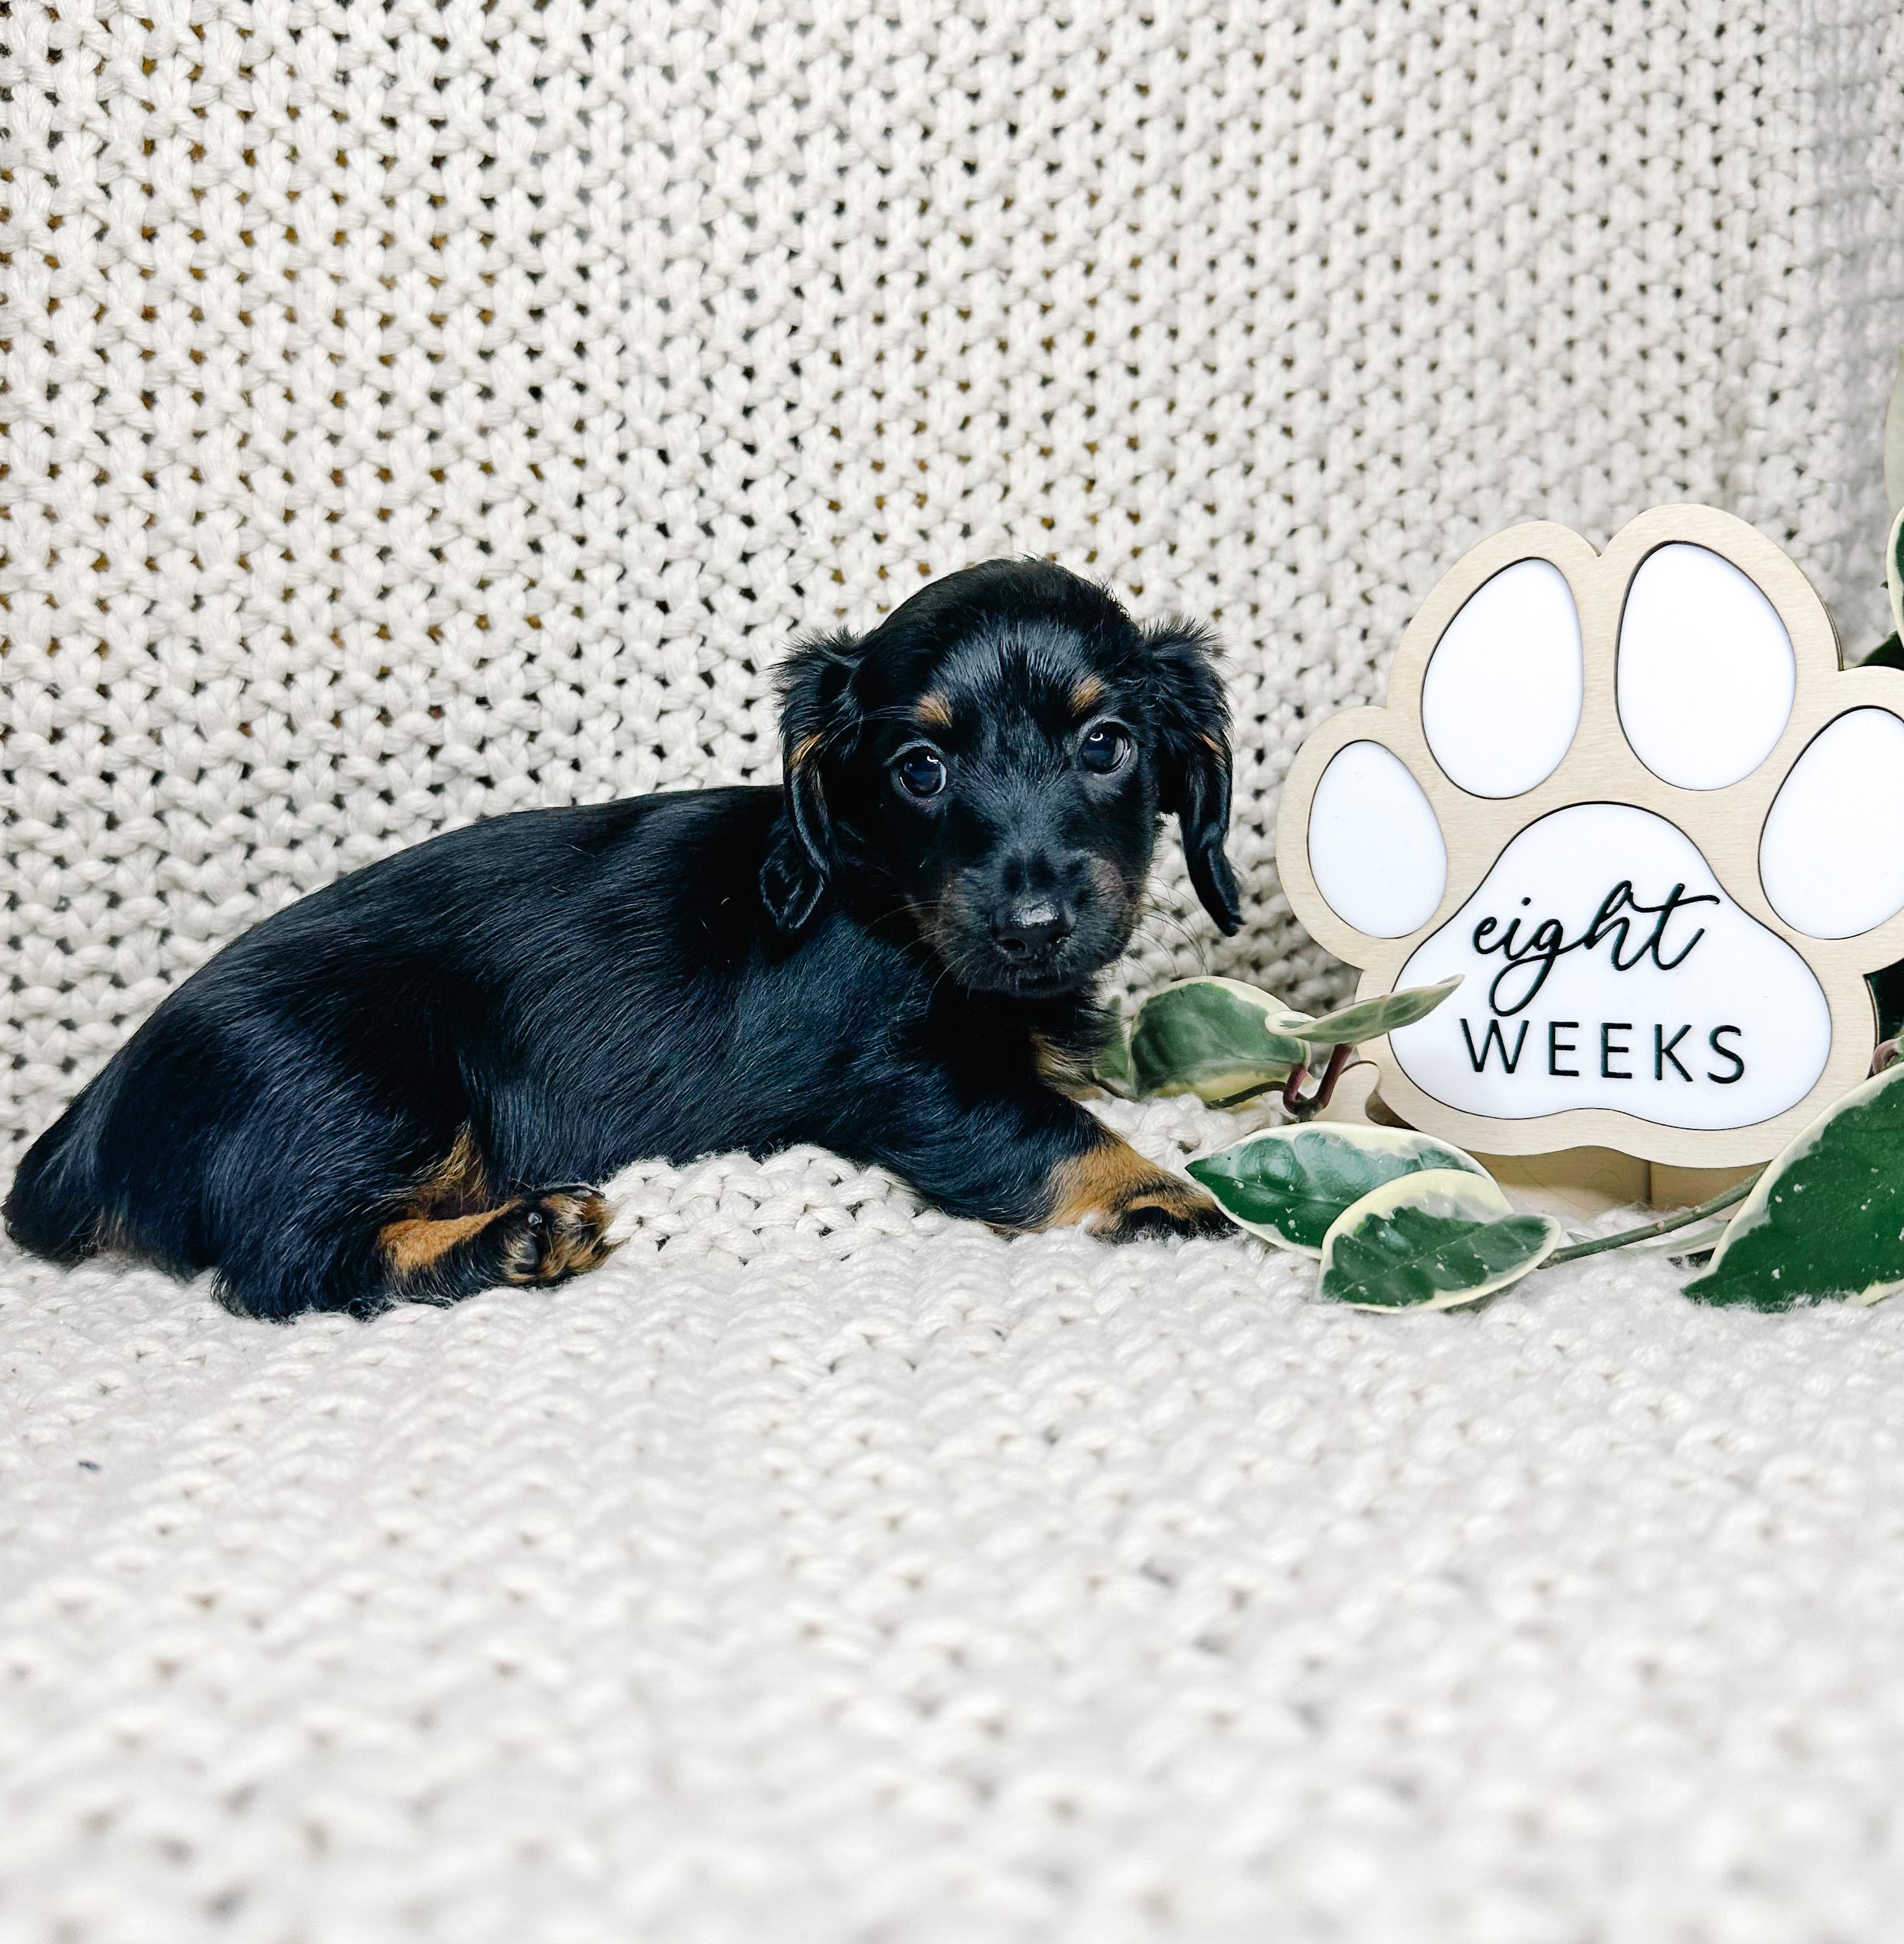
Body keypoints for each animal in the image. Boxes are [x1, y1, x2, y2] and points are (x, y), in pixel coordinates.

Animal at [5, 559, 1244, 1319]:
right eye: (920, 770)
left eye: (1105, 745)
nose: (1034, 926)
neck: (883, 892)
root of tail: (86, 1128)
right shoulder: (901, 1077)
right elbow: (1049, 1130)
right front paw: (1166, 1193)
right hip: (358, 1087)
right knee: (292, 1266)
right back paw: (520, 1234)